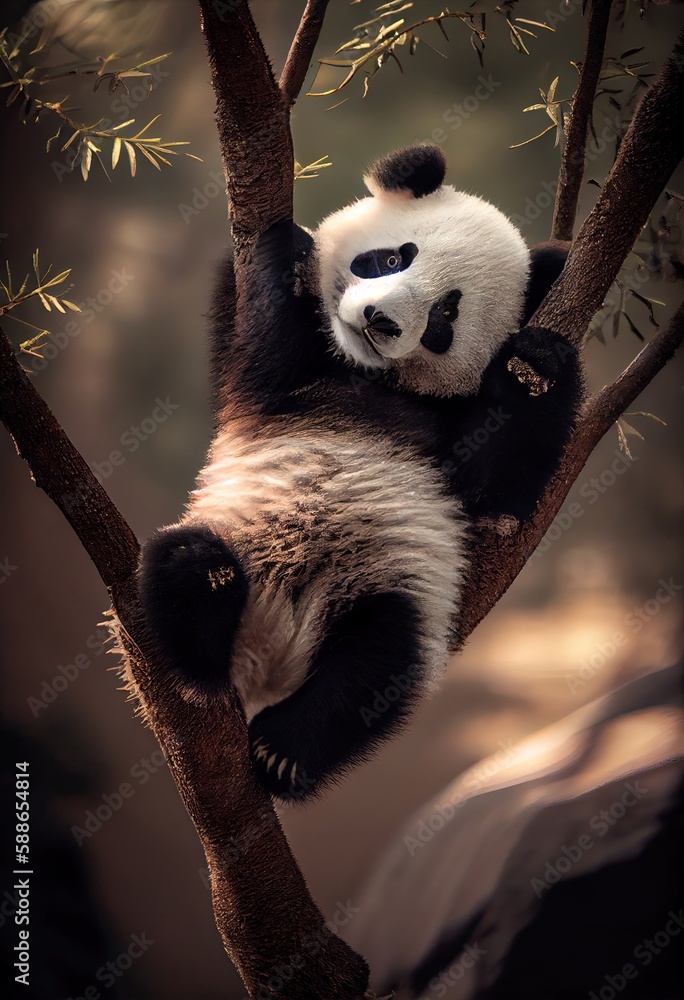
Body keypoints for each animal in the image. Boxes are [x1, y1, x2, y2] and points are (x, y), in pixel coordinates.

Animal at [139, 145, 583, 802]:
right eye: (394, 257)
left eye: (445, 315)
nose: (380, 320)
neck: (367, 375)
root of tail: (270, 656)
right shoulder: (257, 384)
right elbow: (259, 350)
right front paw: (290, 246)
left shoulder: (450, 438)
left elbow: (493, 491)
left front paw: (540, 361)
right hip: (238, 544)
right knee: (186, 562)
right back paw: (203, 645)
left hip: (385, 585)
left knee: (378, 664)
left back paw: (284, 752)